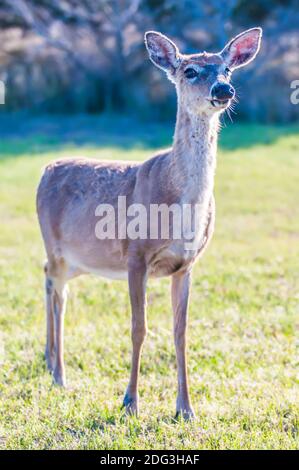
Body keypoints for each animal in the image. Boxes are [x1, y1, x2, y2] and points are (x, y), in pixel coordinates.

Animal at [37, 27, 262, 420]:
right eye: (190, 70)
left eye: (227, 69)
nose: (224, 90)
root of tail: (45, 170)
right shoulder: (135, 256)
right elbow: (138, 328)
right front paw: (130, 403)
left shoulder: (186, 264)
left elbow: (180, 332)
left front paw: (185, 408)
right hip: (55, 244)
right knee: (57, 290)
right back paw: (60, 374)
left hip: (76, 260)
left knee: (49, 279)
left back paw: (52, 364)